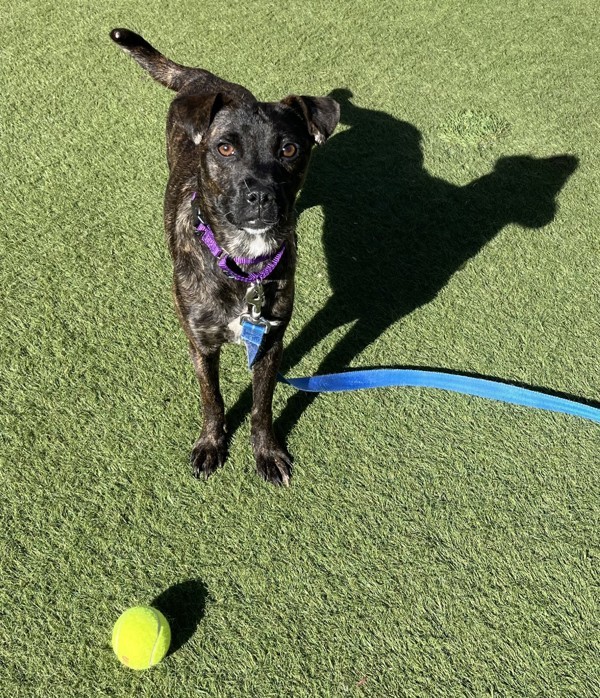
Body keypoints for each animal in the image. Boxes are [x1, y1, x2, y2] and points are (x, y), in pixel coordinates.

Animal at [109, 28, 340, 484]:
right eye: (225, 149)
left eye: (289, 150)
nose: (261, 195)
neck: (242, 263)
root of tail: (203, 78)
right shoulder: (201, 346)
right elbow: (212, 401)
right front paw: (211, 444)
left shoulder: (270, 342)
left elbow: (262, 406)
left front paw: (267, 452)